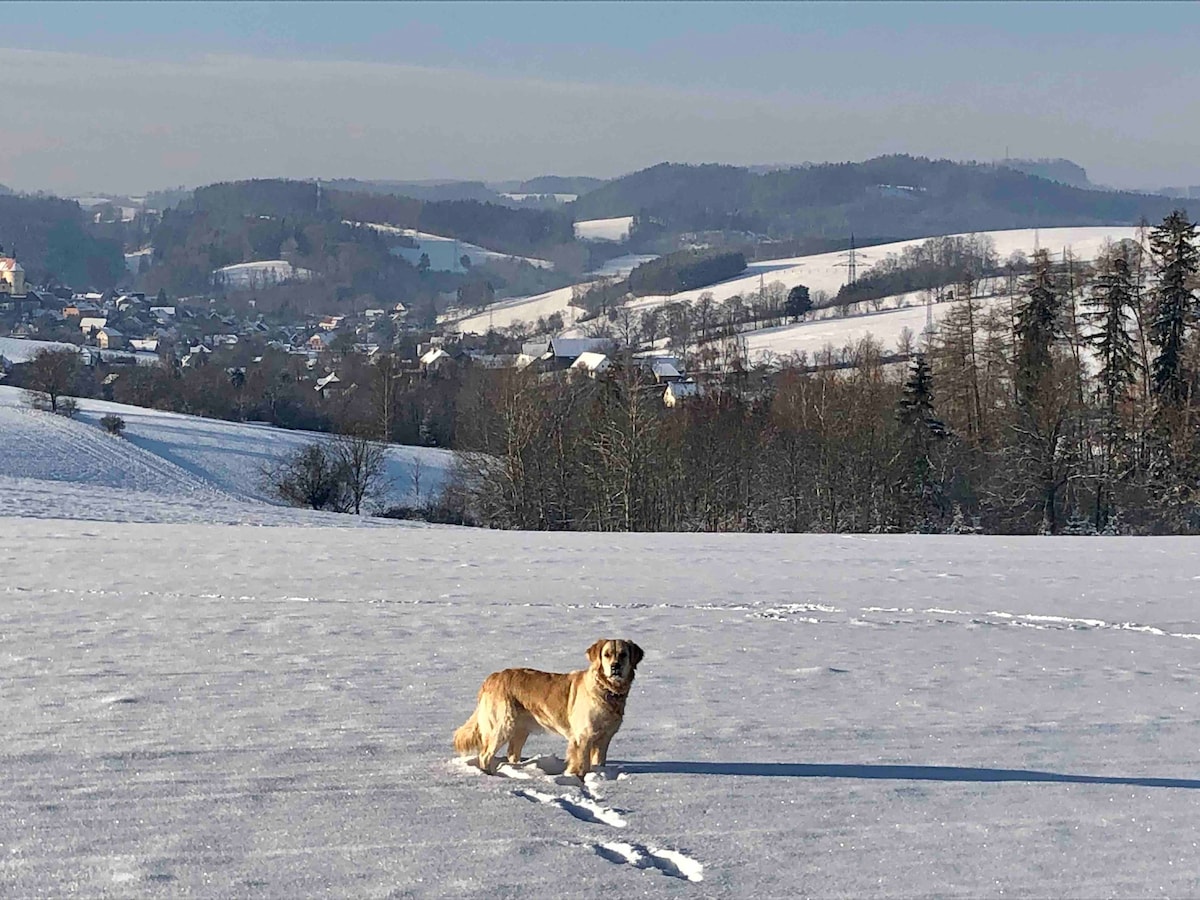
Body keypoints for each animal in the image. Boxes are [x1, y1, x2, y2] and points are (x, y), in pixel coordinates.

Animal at [451, 638, 643, 777]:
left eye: (623, 654)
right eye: (607, 655)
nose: (615, 667)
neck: (607, 690)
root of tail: (492, 677)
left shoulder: (604, 739)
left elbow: (598, 762)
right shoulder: (583, 737)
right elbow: (581, 765)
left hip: (520, 730)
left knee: (512, 753)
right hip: (502, 726)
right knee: (485, 755)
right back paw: (488, 775)